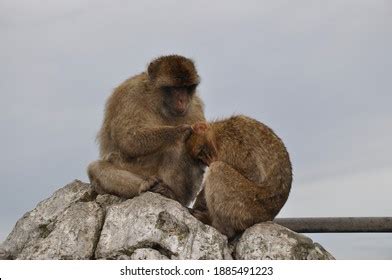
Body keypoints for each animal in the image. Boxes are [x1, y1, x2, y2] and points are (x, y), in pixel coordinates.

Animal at [87, 55, 207, 206]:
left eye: (186, 88)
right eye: (175, 88)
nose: (182, 100)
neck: (158, 101)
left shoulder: (195, 104)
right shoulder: (131, 94)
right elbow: (128, 139)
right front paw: (182, 130)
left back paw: (172, 194)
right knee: (96, 168)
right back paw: (145, 184)